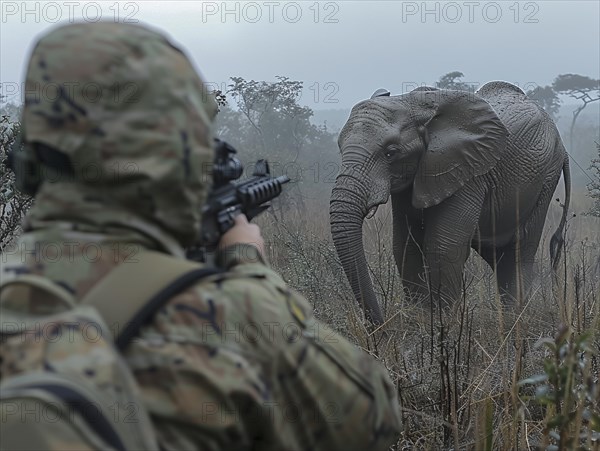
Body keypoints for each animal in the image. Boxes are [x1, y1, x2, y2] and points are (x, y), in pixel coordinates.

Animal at [330, 81, 568, 326]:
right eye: (340, 147)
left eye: (391, 153)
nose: (380, 326)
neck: (411, 103)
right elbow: (405, 244)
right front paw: (420, 317)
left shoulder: (467, 171)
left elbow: (443, 246)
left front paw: (442, 323)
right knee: (499, 254)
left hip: (546, 177)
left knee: (521, 249)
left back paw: (515, 317)